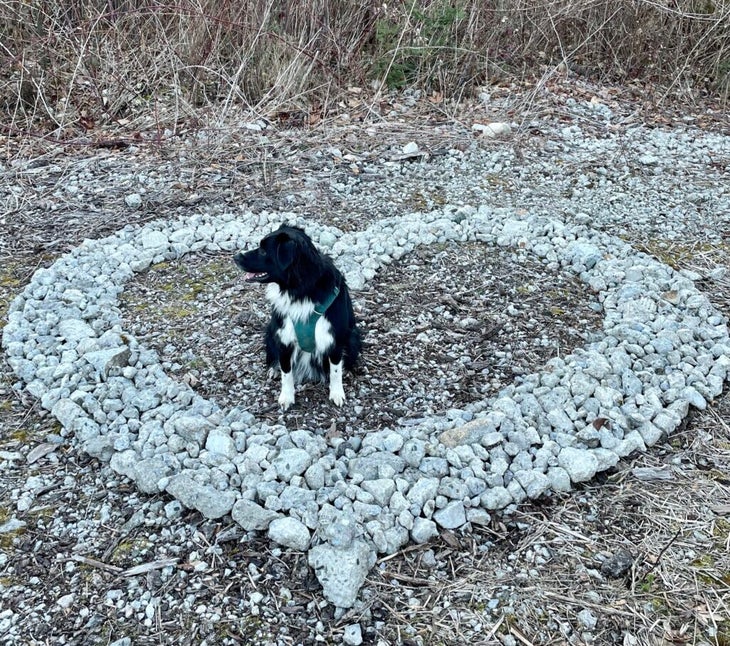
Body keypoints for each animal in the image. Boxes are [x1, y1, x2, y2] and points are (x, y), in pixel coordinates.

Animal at [232, 227, 360, 410]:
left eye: (263, 250)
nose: (235, 257)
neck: (300, 290)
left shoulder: (334, 339)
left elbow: (335, 370)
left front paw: (337, 393)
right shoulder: (284, 338)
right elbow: (286, 372)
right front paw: (286, 396)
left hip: (353, 337)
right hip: (271, 333)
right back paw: (274, 369)